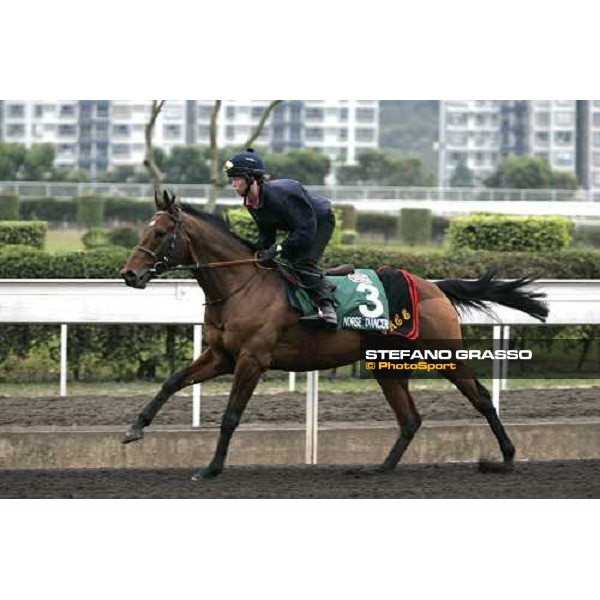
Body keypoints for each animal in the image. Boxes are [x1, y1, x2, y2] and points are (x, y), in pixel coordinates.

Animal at [118, 190, 548, 480]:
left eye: (160, 233)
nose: (129, 274)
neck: (240, 284)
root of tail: (436, 286)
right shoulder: (221, 355)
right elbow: (172, 381)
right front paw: (134, 429)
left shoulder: (252, 359)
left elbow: (231, 416)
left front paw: (211, 468)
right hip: (386, 365)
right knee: (410, 418)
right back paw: (382, 468)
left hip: (442, 353)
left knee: (481, 398)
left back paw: (507, 456)